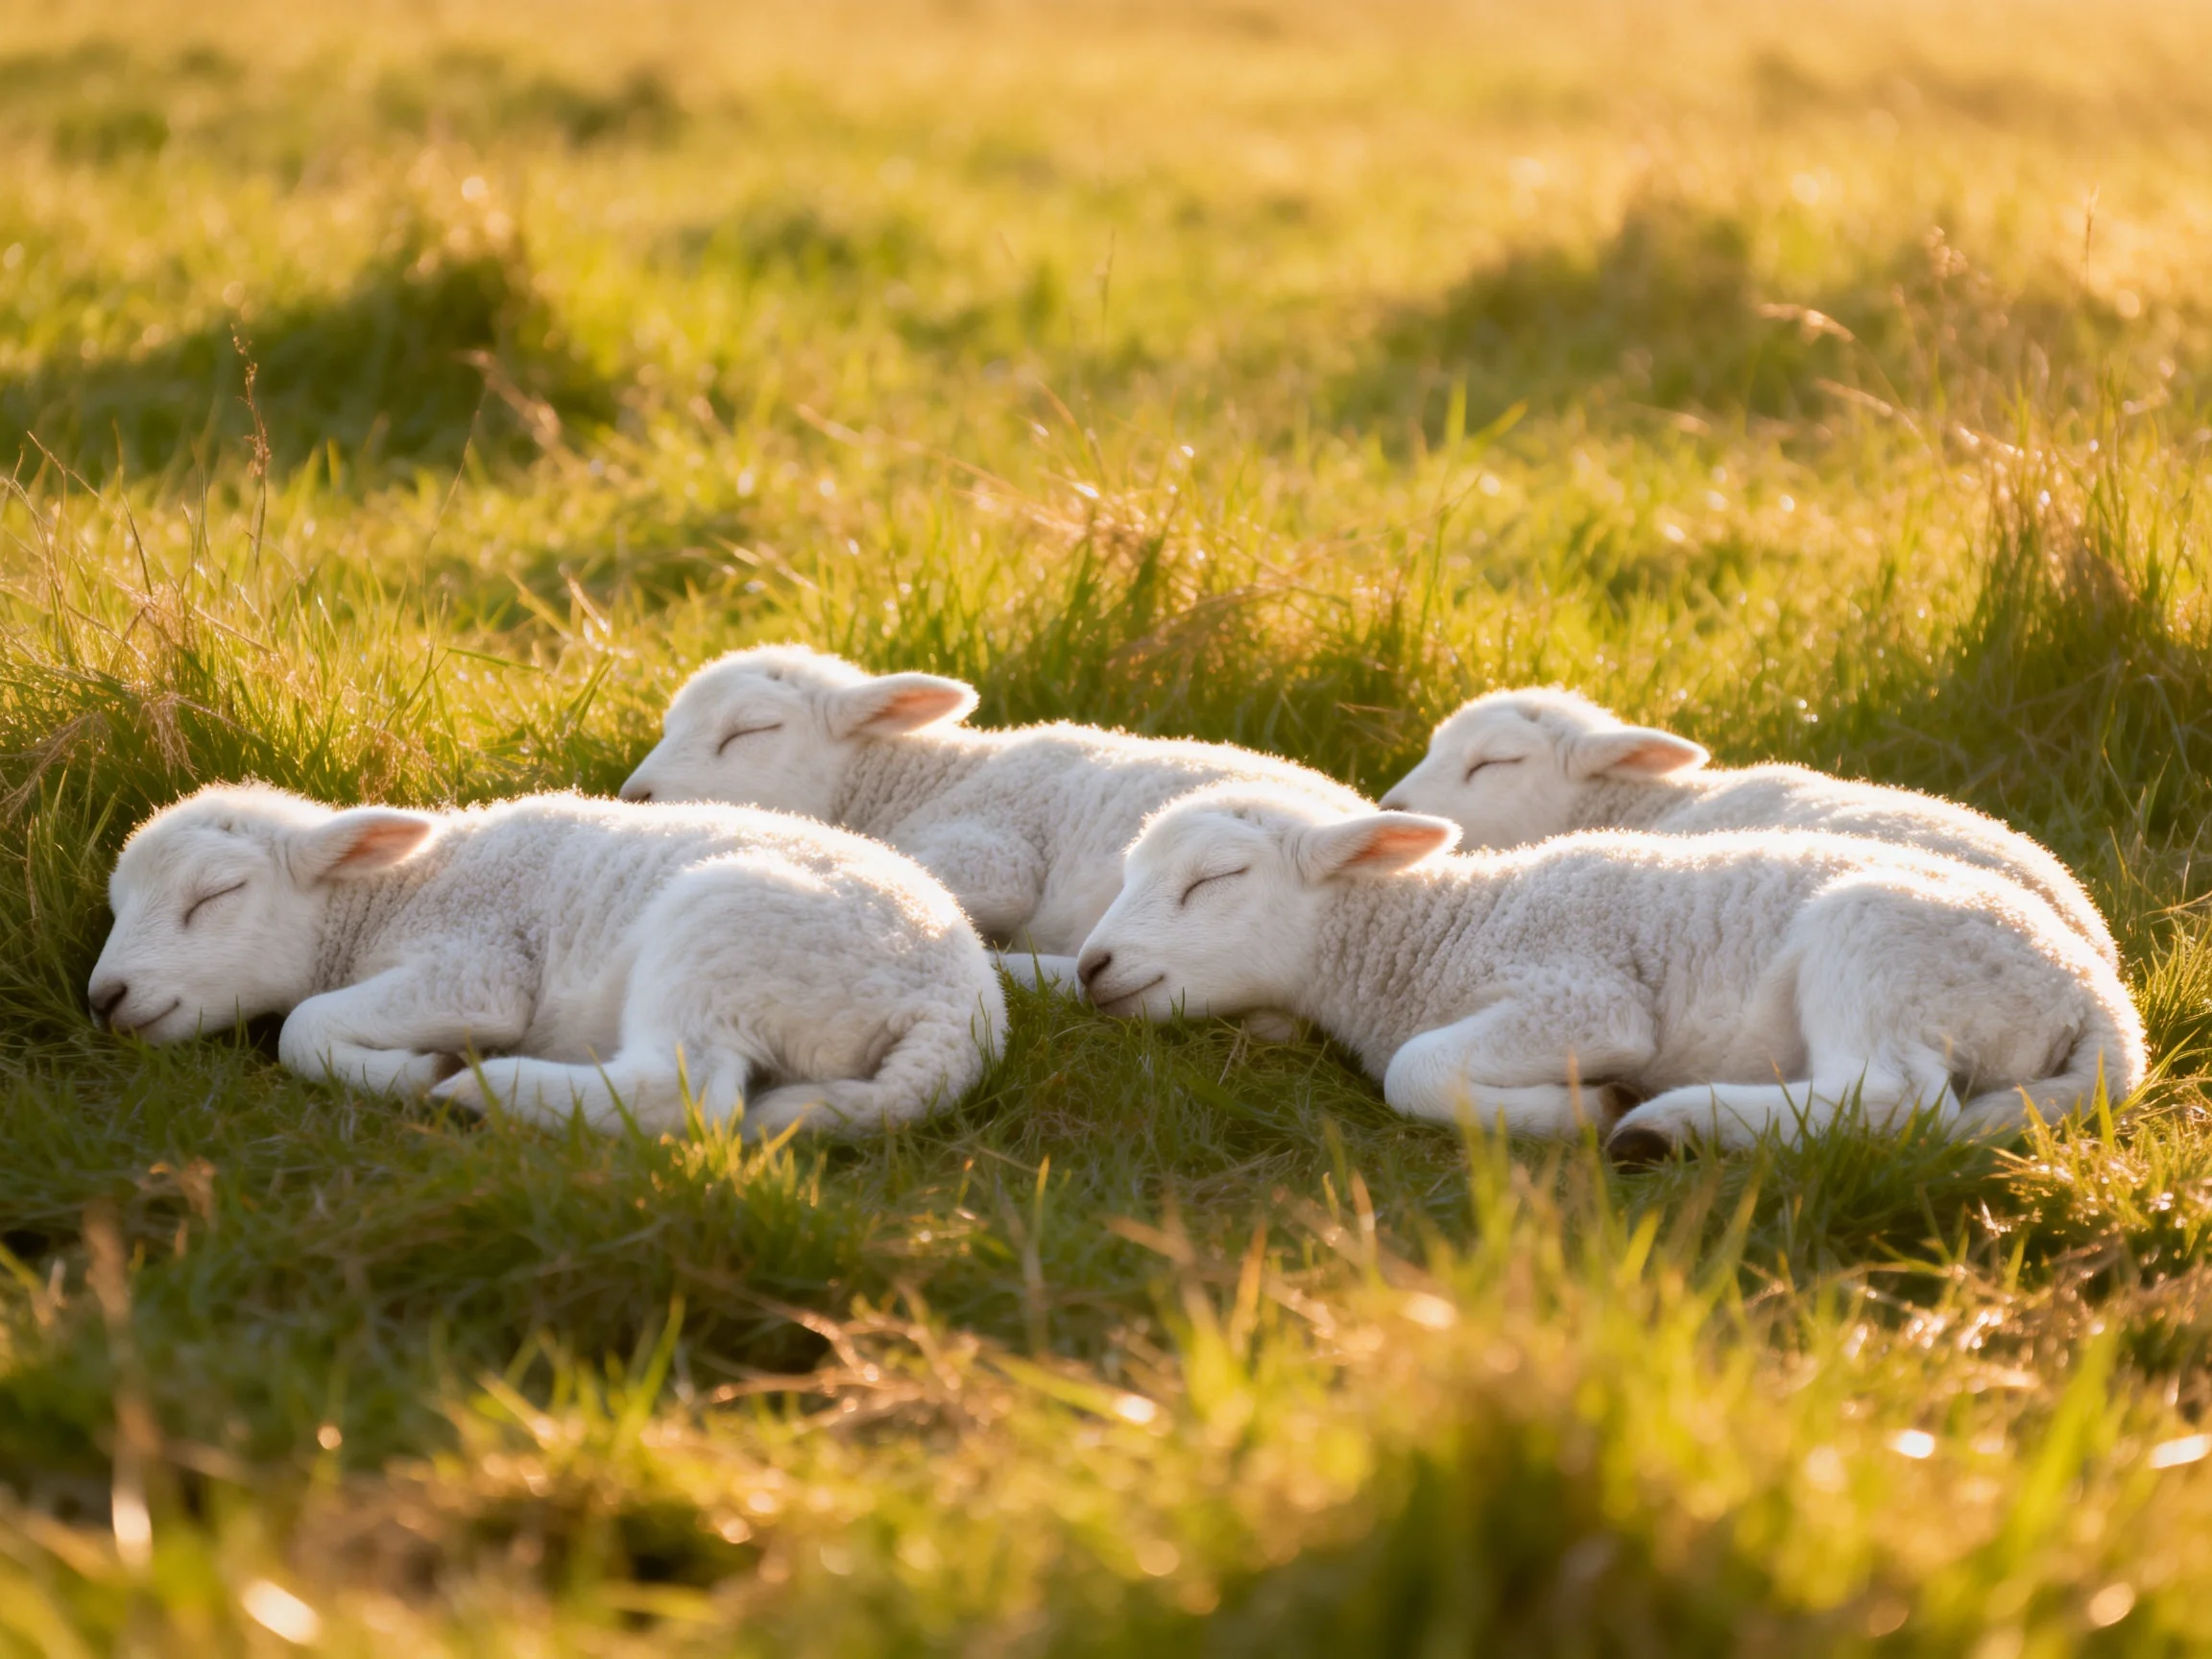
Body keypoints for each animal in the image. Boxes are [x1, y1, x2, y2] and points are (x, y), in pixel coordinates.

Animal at [85, 784, 1006, 1138]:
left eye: (216, 895)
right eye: (117, 908)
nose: (105, 996)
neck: (393, 891)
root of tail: (954, 1013)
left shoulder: (477, 964)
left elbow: (300, 1027)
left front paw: (417, 1069)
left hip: (719, 932)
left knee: (683, 1092)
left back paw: (481, 1090)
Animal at [1074, 785, 2144, 1156]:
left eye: (1216, 878)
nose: (1092, 965)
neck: (1435, 929)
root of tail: (2102, 1006)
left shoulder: (1579, 994)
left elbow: (1415, 1070)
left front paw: (1581, 1108)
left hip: (1878, 947)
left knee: (1890, 1101)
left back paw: (1667, 1123)